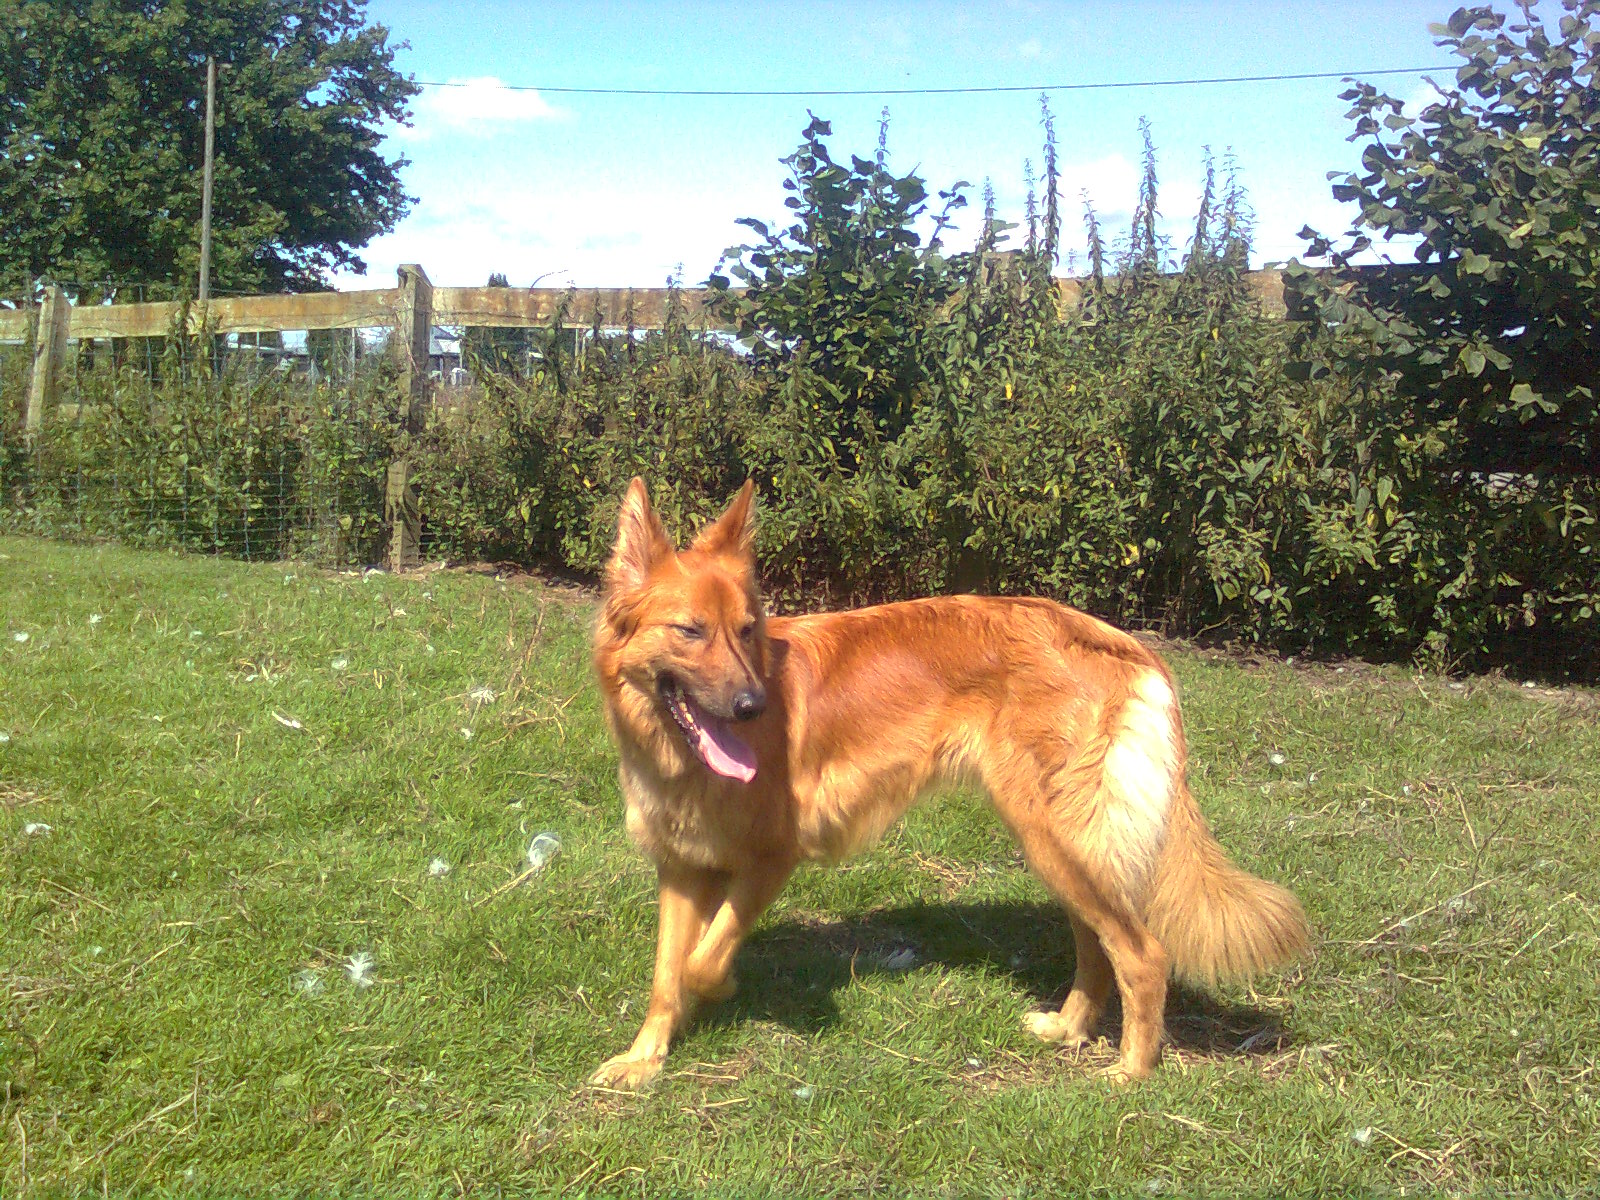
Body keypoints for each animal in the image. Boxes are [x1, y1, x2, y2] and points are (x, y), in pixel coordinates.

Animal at [589, 477, 1310, 1089]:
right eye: (690, 631)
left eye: (746, 632)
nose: (752, 705)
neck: (676, 754)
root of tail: (1116, 639)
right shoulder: (682, 869)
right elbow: (667, 972)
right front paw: (646, 1058)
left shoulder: (772, 858)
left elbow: (700, 960)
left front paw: (720, 992)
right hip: (1059, 846)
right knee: (1097, 944)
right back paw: (1069, 1028)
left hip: (1054, 836)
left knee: (1141, 953)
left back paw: (1130, 1071)